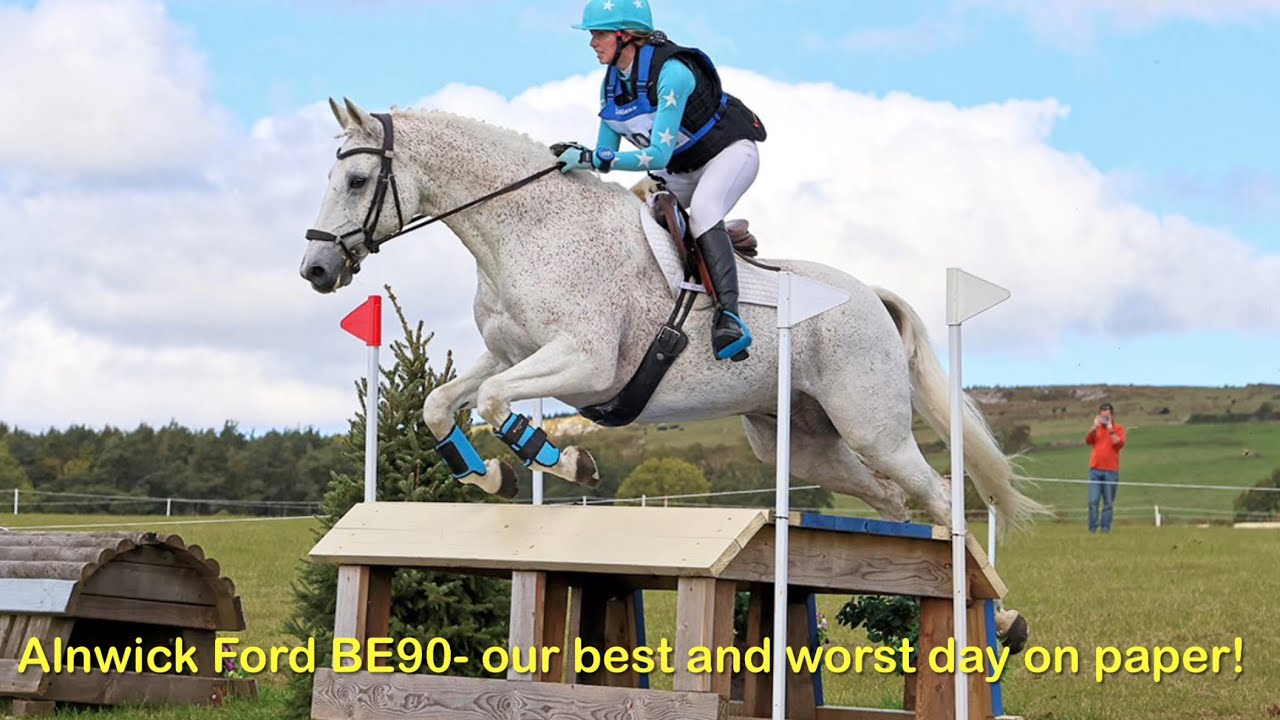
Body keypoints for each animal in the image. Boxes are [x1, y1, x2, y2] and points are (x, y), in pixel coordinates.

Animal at [299, 97, 1047, 540]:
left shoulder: (586, 363)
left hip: (872, 426)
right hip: (801, 442)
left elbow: (493, 403)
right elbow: (441, 403)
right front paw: (490, 477)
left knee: (940, 495)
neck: (527, 229)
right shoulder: (509, 353)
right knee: (889, 500)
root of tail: (870, 296)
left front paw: (566, 462)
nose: (315, 271)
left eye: (357, 182)